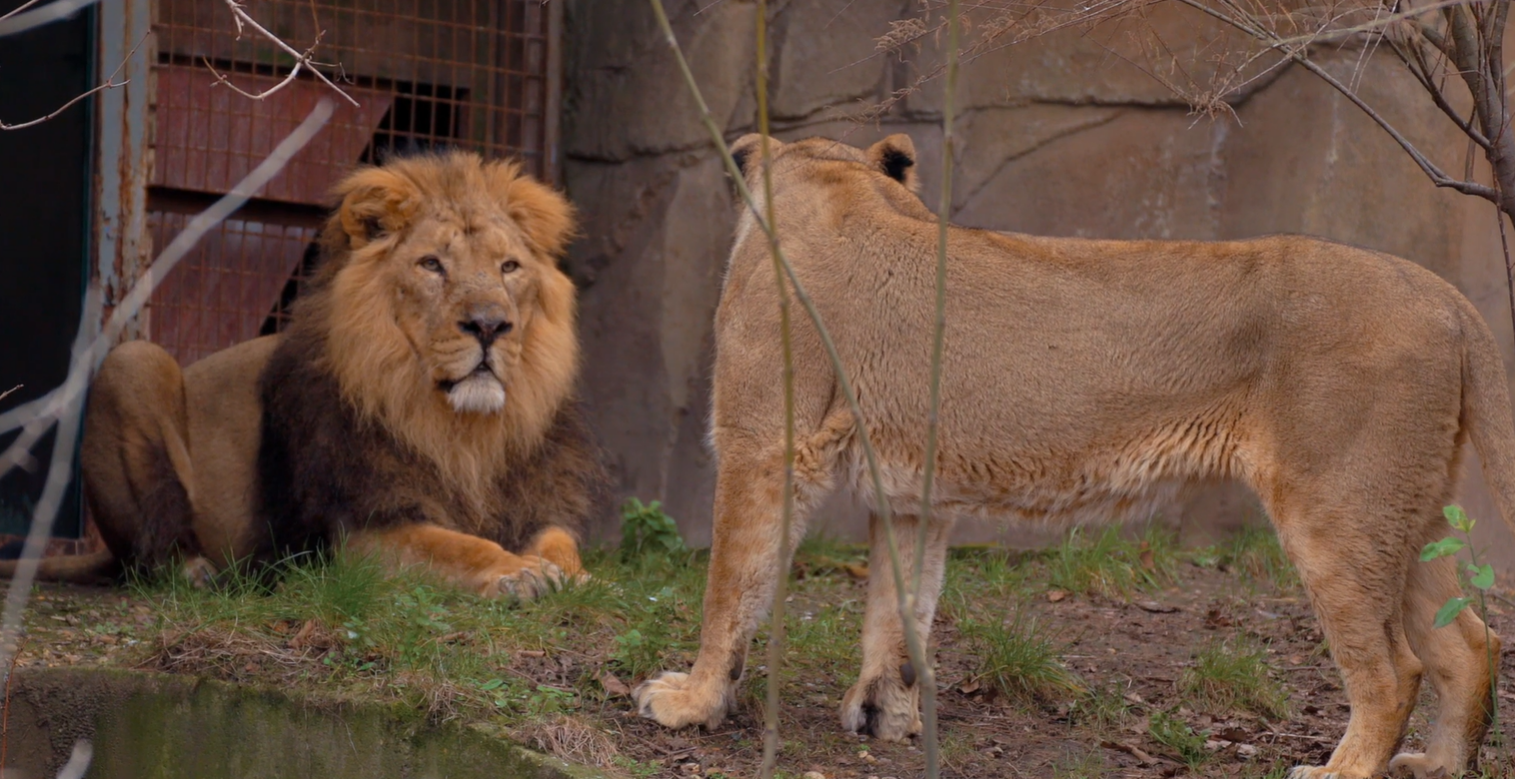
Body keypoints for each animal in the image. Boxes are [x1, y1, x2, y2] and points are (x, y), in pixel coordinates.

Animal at [14, 151, 602, 597]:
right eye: (432, 265)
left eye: (509, 268)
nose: (489, 325)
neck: (463, 431)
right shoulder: (359, 532)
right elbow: (457, 545)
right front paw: (515, 572)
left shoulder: (541, 502)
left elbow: (560, 543)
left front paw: (579, 578)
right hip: (131, 363)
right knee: (151, 554)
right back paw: (198, 572)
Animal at [633, 134, 1515, 775]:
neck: (837, 184)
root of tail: (1444, 294)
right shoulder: (914, 493)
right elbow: (898, 610)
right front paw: (882, 715)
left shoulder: (760, 446)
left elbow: (731, 587)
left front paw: (691, 700)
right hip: (1403, 511)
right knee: (1469, 640)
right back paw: (1434, 765)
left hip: (1336, 507)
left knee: (1392, 670)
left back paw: (1339, 769)